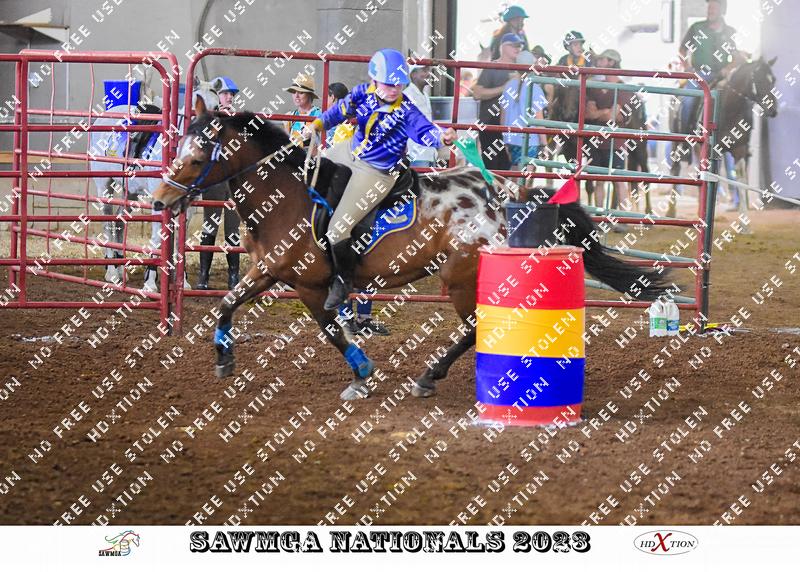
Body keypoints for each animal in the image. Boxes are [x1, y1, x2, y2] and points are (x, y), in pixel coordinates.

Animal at [90, 81, 219, 290]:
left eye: (217, 106)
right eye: (194, 103)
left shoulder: (188, 208)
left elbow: (179, 241)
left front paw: (182, 282)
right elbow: (158, 239)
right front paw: (150, 282)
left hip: (130, 193)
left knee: (119, 222)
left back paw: (120, 266)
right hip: (104, 186)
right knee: (108, 224)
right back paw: (112, 272)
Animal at [151, 96, 672, 401]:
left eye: (198, 156)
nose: (160, 200)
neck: (289, 198)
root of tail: (504, 197)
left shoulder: (311, 285)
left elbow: (332, 331)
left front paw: (361, 375)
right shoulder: (270, 271)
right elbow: (226, 303)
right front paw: (224, 359)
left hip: (461, 278)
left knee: (474, 329)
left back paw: (431, 376)